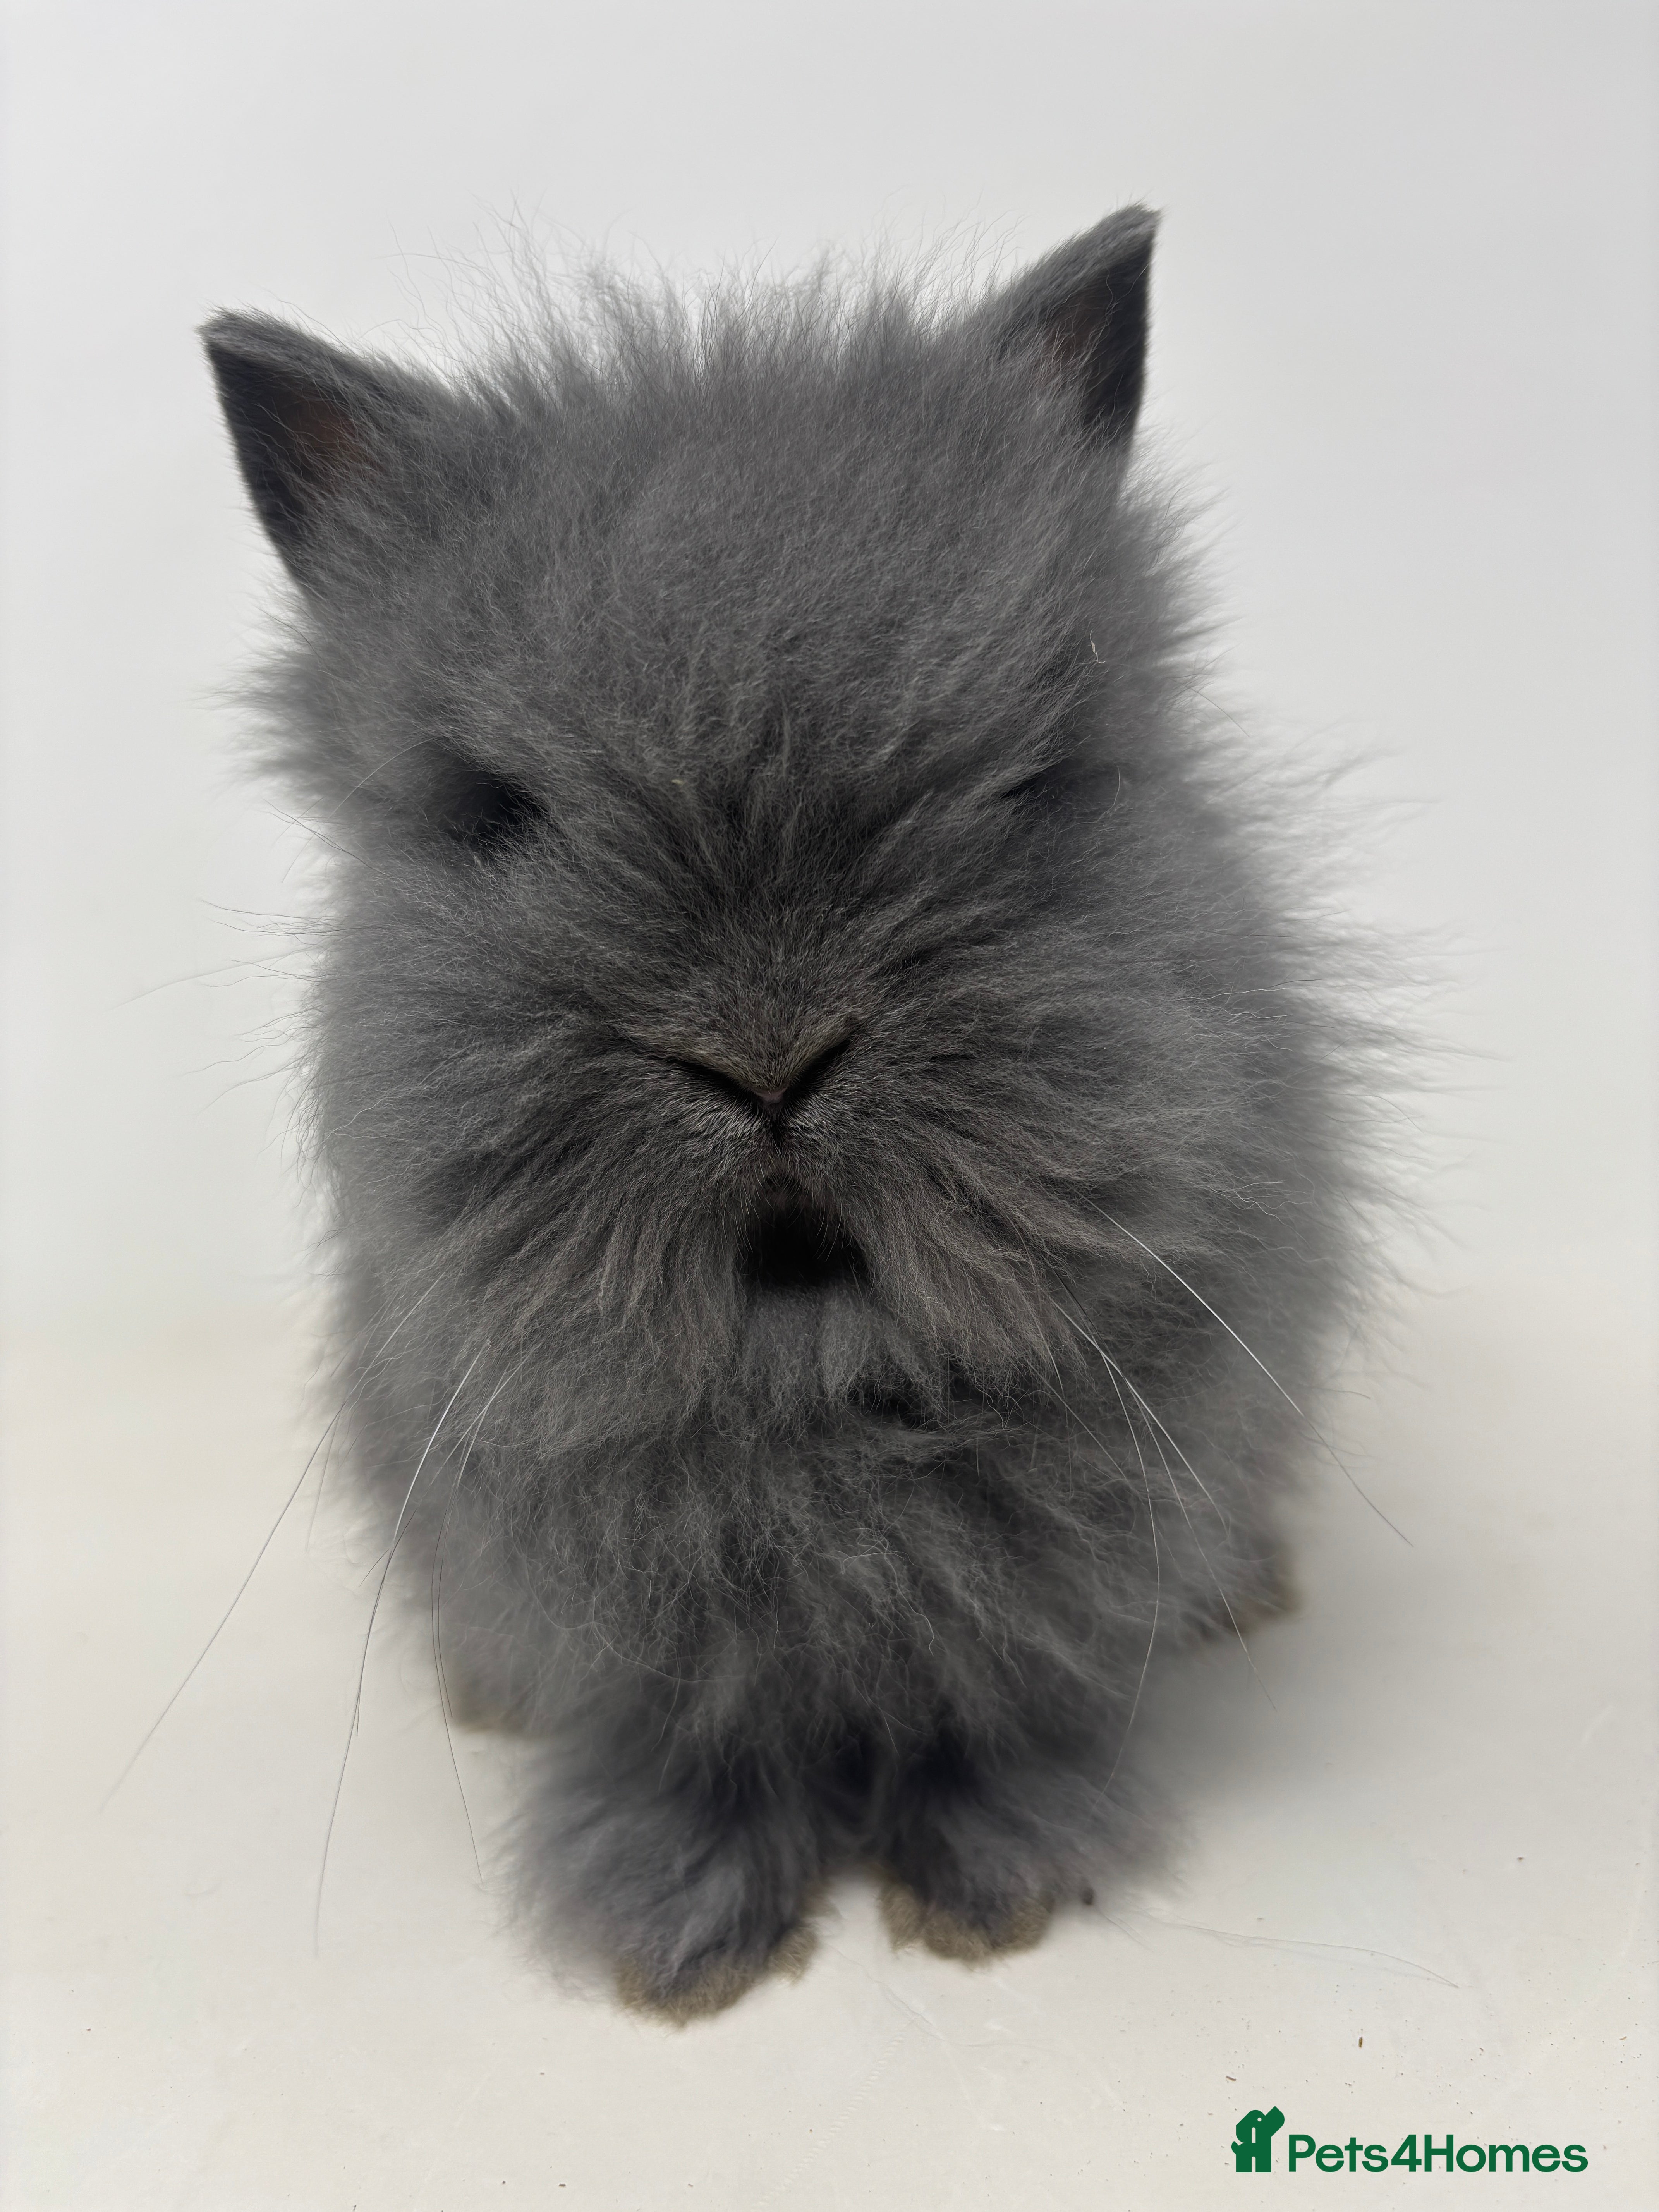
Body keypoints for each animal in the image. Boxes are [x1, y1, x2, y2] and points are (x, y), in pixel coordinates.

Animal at [204, 207, 1378, 2020]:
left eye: (1024, 779)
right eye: (494, 813)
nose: (767, 1059)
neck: (817, 1392)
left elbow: (996, 1708)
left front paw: (988, 1888)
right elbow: (693, 1746)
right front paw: (677, 1941)